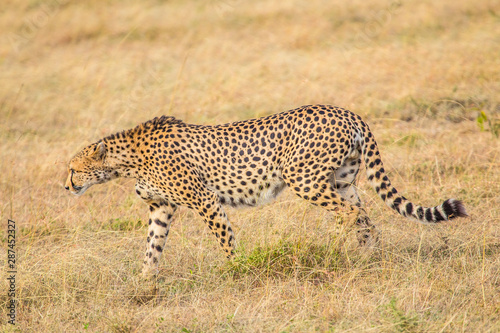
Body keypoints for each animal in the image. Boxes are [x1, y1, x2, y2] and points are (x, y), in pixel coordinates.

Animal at [64, 104, 466, 274]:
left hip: (305, 179)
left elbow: (224, 238)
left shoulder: (205, 199)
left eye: (73, 169)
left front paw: (237, 270)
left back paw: (340, 253)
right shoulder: (161, 207)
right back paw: (367, 255)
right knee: (365, 217)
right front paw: (145, 283)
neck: (126, 158)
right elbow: (152, 247)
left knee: (350, 214)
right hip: (342, 180)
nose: (66, 185)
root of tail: (346, 111)